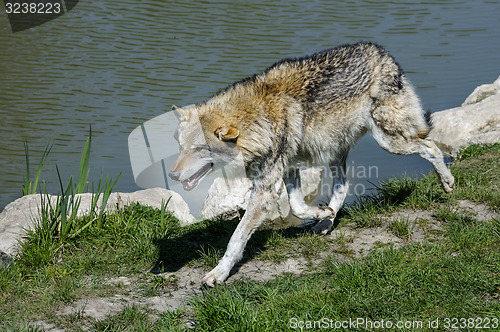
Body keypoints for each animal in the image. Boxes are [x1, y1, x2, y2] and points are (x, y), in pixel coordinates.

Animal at [170, 40, 456, 286]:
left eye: (198, 150)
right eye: (180, 147)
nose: (172, 175)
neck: (258, 119)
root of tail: (381, 52)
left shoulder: (265, 187)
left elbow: (237, 237)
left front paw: (218, 273)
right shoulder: (288, 171)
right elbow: (298, 208)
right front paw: (321, 213)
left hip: (387, 141)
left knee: (430, 147)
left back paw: (448, 182)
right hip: (336, 150)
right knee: (343, 186)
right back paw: (326, 223)